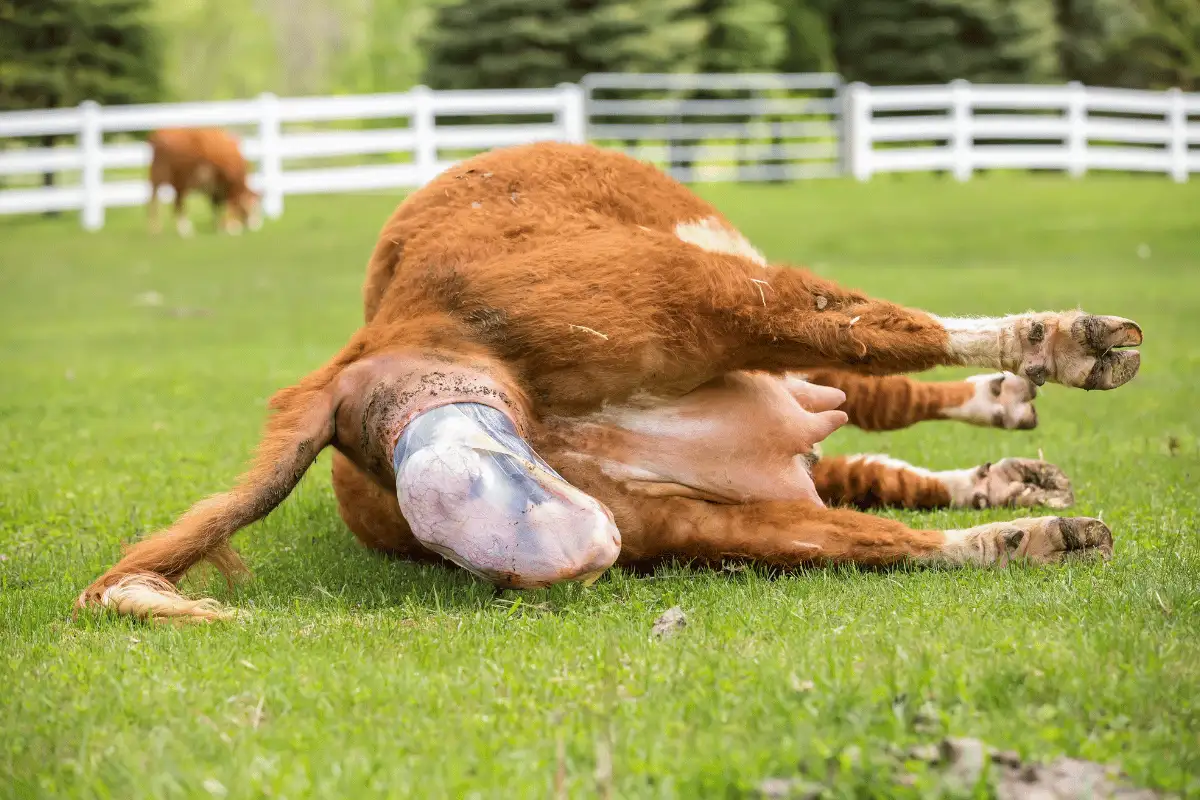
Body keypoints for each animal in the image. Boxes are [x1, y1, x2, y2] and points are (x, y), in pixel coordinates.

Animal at [77, 143, 1142, 623]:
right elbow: (864, 542)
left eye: (399, 407)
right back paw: (1010, 468)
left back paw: (1028, 383)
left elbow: (879, 327)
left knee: (872, 376)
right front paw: (1034, 537)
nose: (528, 545)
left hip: (751, 319)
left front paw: (1070, 341)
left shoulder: (706, 297)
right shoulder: (707, 525)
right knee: (866, 462)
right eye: (370, 444)